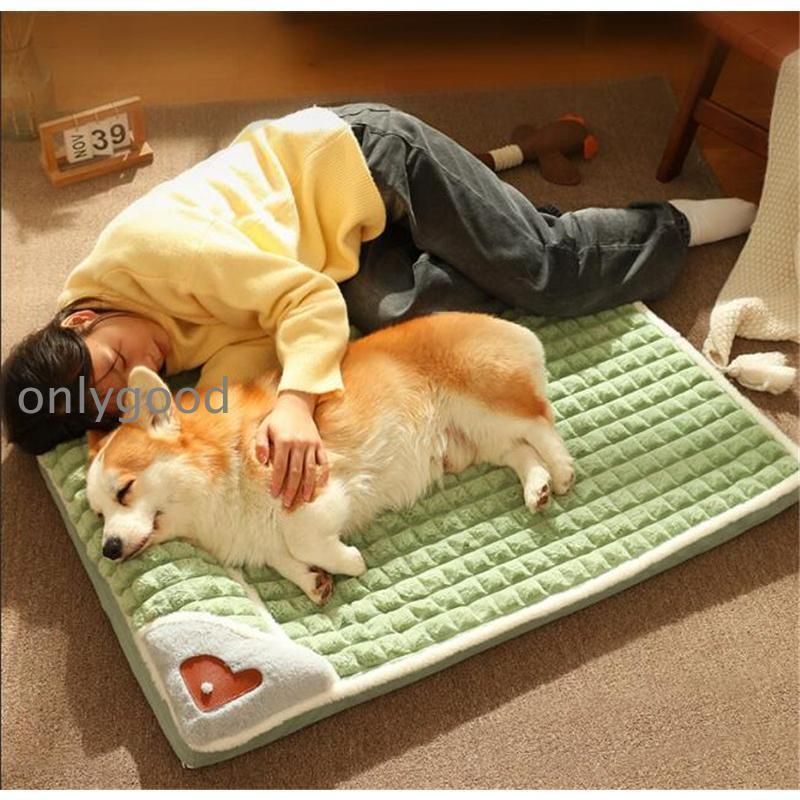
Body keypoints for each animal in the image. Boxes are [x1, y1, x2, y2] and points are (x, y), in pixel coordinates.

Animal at [86, 312, 574, 605]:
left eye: (124, 490)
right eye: (98, 514)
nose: (109, 549)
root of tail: (505, 323)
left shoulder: (315, 489)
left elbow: (300, 539)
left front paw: (348, 562)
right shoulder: (258, 539)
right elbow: (281, 557)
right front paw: (314, 582)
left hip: (486, 401)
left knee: (538, 423)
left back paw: (563, 470)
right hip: (476, 440)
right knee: (520, 449)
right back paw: (538, 488)